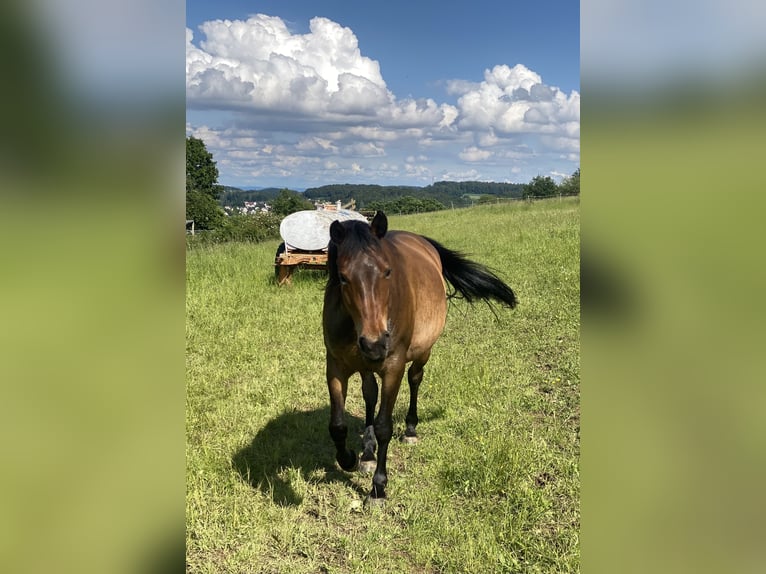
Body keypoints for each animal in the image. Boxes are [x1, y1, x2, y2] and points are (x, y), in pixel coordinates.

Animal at [320, 212, 520, 504]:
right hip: (366, 364)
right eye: (343, 278)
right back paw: (367, 452)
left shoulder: (393, 367)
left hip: (422, 352)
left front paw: (378, 487)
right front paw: (350, 459)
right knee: (370, 393)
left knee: (415, 379)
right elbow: (337, 425)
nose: (375, 343)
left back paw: (411, 430)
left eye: (387, 271)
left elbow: (384, 427)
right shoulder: (335, 367)